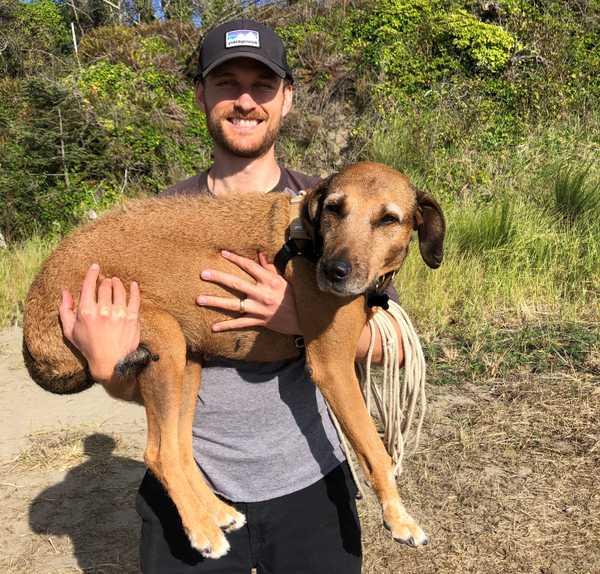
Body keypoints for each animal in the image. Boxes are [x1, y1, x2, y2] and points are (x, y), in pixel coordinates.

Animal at [23, 161, 442, 560]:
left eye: (388, 219)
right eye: (334, 209)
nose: (333, 271)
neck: (309, 241)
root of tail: (32, 315)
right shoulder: (332, 365)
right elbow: (376, 450)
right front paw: (399, 519)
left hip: (187, 363)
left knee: (180, 448)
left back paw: (216, 512)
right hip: (163, 344)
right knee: (159, 453)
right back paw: (202, 531)